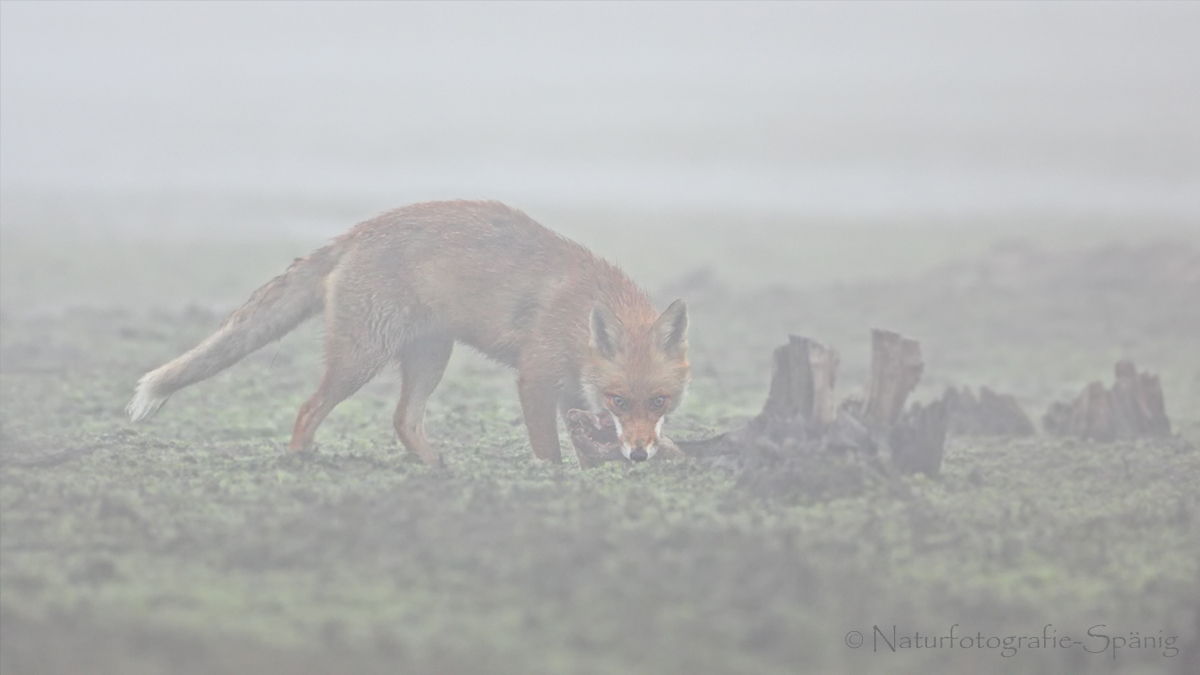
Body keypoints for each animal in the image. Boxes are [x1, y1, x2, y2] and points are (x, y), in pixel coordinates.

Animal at [126, 198, 691, 461]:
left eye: (659, 401)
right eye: (620, 400)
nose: (639, 454)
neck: (579, 318)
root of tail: (357, 231)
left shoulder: (573, 388)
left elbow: (587, 440)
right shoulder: (535, 376)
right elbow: (549, 451)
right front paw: (555, 477)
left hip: (429, 356)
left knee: (403, 420)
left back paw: (435, 469)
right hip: (362, 357)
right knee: (309, 408)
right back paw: (301, 462)